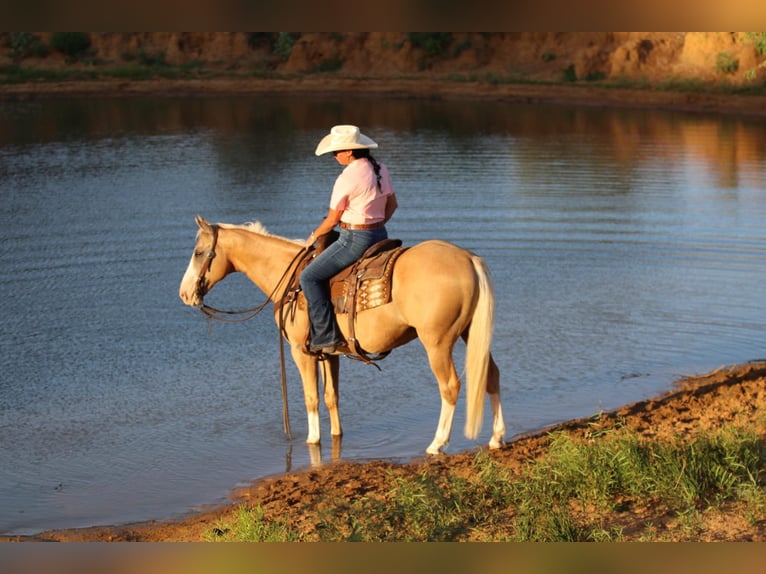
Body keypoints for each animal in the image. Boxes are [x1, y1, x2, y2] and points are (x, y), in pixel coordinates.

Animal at [178, 216, 508, 454]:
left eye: (198, 253)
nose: (184, 294)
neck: (291, 279)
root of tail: (468, 259)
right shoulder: (328, 353)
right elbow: (331, 396)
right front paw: (336, 434)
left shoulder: (301, 351)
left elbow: (311, 397)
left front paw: (313, 439)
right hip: (469, 334)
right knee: (491, 375)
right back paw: (497, 437)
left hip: (437, 343)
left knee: (450, 386)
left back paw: (437, 444)